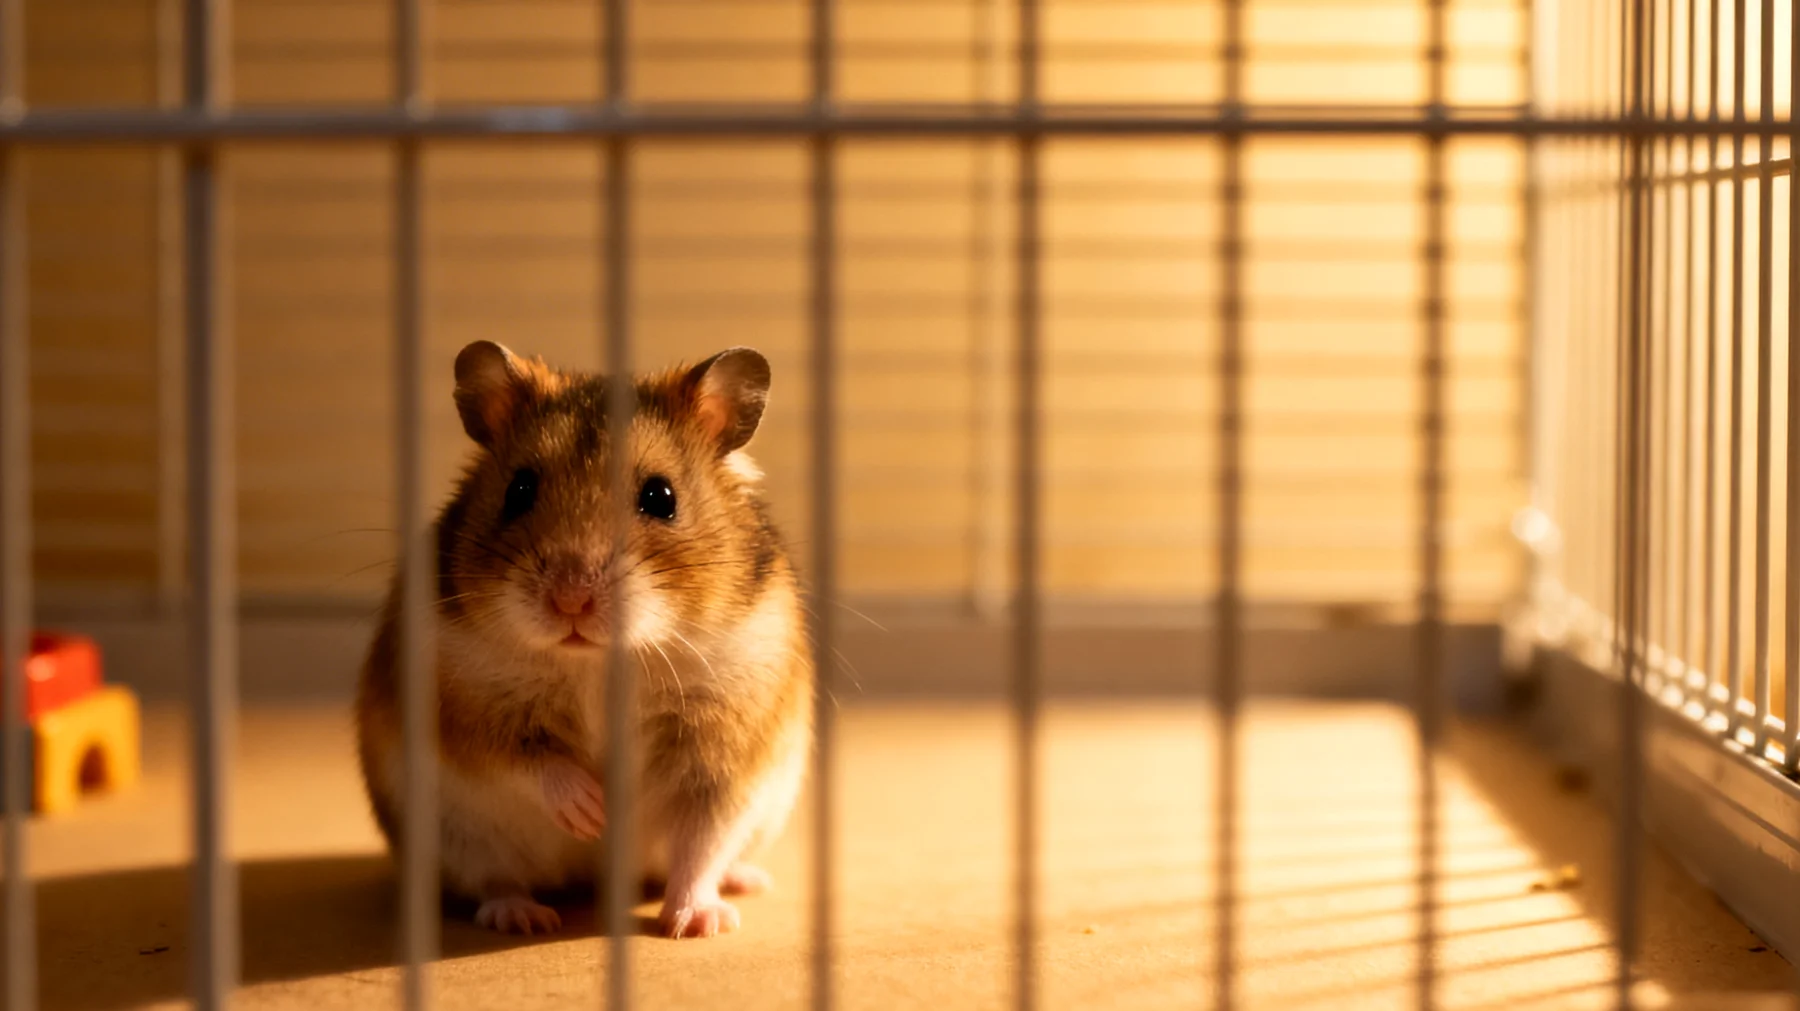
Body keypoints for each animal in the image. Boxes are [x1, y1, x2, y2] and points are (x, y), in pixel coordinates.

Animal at [355, 340, 813, 939]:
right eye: (519, 490)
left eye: (660, 496)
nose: (570, 600)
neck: (600, 662)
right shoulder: (466, 710)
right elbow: (528, 760)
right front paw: (592, 813)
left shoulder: (723, 750)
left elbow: (700, 847)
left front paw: (693, 926)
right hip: (453, 834)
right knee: (493, 879)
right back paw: (524, 918)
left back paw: (745, 883)